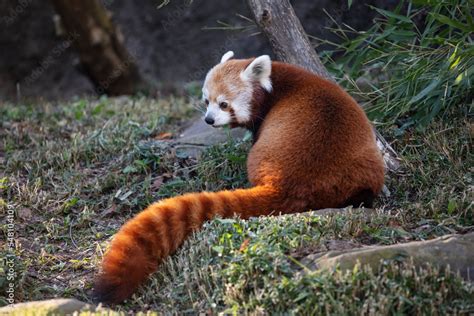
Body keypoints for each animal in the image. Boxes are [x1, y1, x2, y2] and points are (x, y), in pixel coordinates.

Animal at [92, 51, 386, 304]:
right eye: (206, 101)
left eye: (224, 104)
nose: (209, 120)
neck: (272, 83)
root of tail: (290, 185)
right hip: (366, 163)